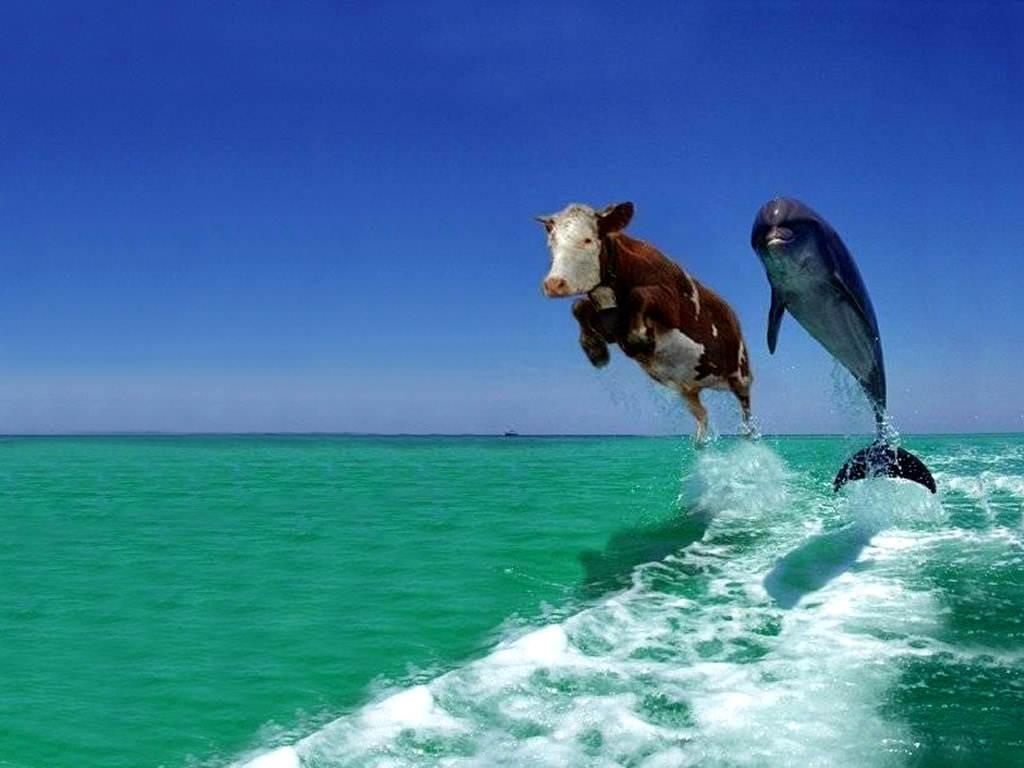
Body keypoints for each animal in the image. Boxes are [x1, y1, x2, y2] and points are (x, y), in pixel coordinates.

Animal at [537, 201, 753, 442]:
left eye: (588, 239)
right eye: (551, 243)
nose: (553, 284)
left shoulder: (671, 304)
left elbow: (638, 295)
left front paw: (640, 340)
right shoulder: (610, 326)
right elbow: (578, 307)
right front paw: (595, 351)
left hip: (740, 372)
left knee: (746, 410)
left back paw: (749, 435)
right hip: (687, 388)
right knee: (702, 414)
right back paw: (700, 442)